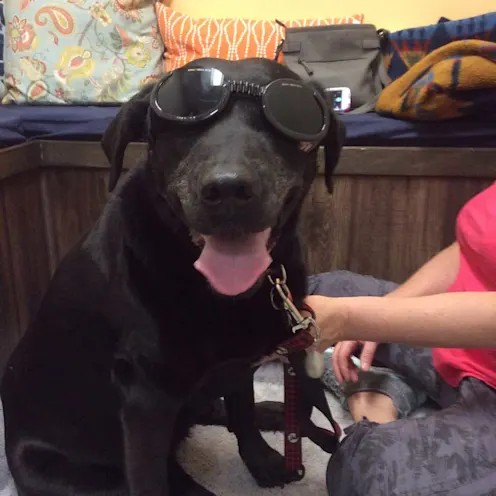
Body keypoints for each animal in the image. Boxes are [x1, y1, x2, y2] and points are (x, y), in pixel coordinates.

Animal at [1, 56, 342, 494]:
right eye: (183, 117)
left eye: (292, 116)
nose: (228, 189)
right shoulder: (145, 400)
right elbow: (153, 475)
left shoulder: (236, 363)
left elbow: (242, 411)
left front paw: (261, 459)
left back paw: (274, 411)